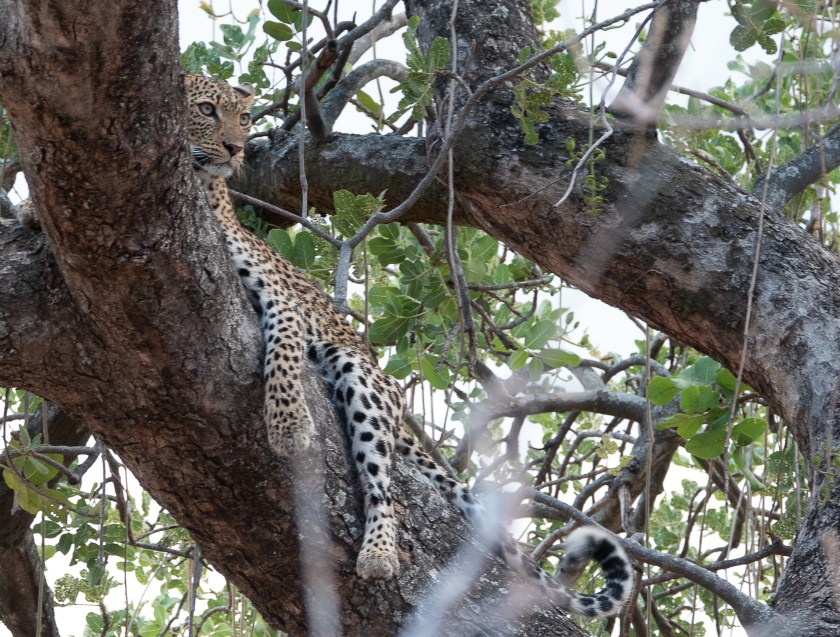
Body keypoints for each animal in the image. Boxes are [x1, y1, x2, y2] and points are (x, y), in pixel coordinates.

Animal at [184, 74, 633, 617]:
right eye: (207, 110)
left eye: (244, 118)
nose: (236, 148)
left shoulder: (284, 304)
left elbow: (283, 354)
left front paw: (289, 427)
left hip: (361, 377)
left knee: (384, 486)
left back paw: (378, 552)